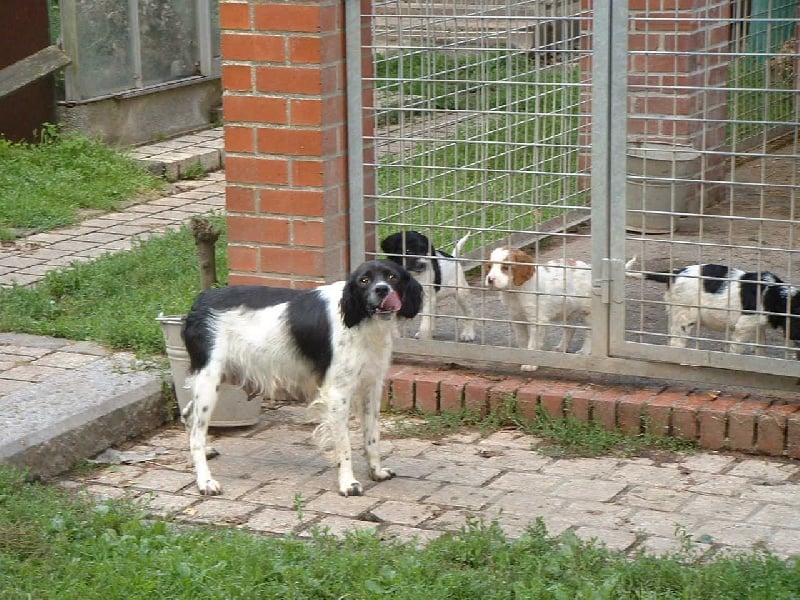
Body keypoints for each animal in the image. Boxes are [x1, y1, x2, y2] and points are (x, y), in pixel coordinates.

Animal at [180, 259, 423, 497]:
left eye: (392, 277)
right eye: (364, 280)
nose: (382, 290)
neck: (360, 319)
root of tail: (201, 299)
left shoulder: (371, 386)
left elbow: (372, 436)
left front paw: (376, 471)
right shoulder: (337, 393)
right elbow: (344, 444)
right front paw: (348, 483)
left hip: (221, 379)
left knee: (188, 414)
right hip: (209, 381)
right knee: (196, 436)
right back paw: (205, 481)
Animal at [485, 247, 636, 371]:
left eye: (505, 267)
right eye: (489, 267)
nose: (490, 279)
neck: (516, 292)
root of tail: (589, 267)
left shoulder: (537, 320)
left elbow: (533, 343)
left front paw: (530, 363)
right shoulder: (516, 318)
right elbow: (522, 339)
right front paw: (521, 355)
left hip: (588, 310)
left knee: (590, 332)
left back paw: (585, 351)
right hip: (567, 309)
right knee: (570, 329)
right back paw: (561, 348)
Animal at [639, 263, 800, 354]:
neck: (775, 294)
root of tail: (674, 273)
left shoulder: (758, 327)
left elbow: (761, 349)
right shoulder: (744, 326)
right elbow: (736, 349)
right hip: (685, 315)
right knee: (677, 343)